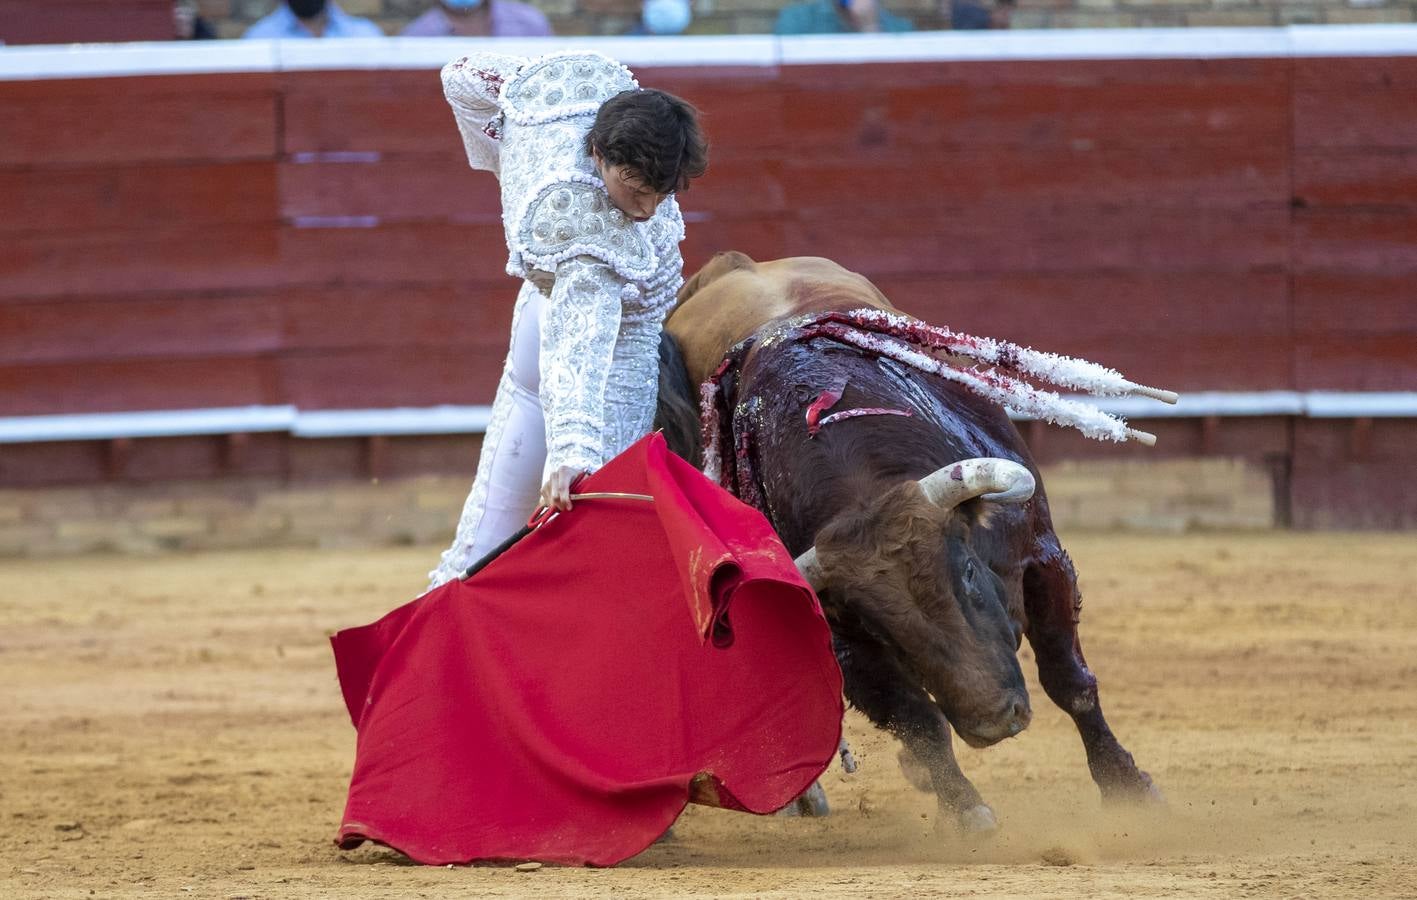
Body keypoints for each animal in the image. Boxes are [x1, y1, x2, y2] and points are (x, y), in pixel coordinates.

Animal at [651, 252, 1161, 833]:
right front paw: (964, 810)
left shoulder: (1044, 559)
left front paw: (1127, 786)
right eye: (879, 624)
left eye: (967, 571)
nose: (994, 721)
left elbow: (1067, 679)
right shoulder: (844, 644)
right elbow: (919, 721)